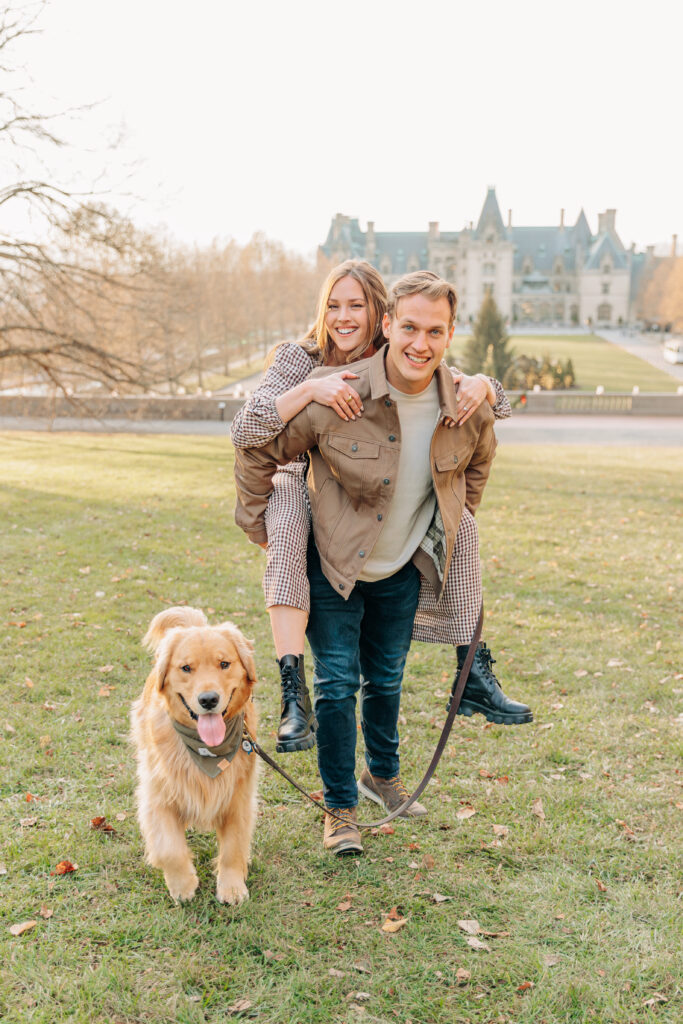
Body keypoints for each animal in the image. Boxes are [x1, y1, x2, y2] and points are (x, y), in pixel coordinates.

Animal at [131, 606, 259, 905]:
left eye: (224, 664)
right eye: (186, 668)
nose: (208, 699)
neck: (206, 750)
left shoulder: (238, 797)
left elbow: (233, 847)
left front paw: (231, 886)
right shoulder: (157, 796)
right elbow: (169, 848)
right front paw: (183, 884)